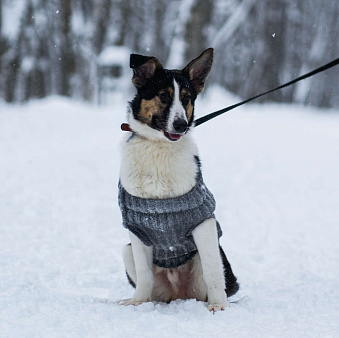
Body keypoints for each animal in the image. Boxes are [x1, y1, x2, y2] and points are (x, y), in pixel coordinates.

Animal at [119, 47, 239, 312]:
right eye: (163, 96)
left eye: (186, 98)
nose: (181, 125)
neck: (159, 148)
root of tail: (179, 294)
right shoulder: (137, 230)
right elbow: (144, 275)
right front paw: (137, 303)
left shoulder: (203, 223)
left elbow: (213, 272)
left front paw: (218, 306)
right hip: (126, 250)